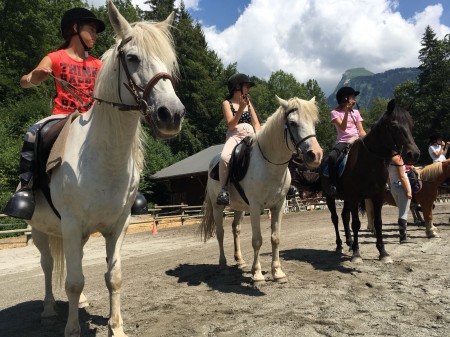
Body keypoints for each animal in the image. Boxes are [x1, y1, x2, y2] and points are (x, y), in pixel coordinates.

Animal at [26, 1, 184, 334]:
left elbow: (113, 277)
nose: (172, 114)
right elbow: (73, 281)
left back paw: (81, 303)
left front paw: (117, 327)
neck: (103, 160)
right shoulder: (72, 224)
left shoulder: (117, 225)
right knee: (48, 266)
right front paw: (72, 329)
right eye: (132, 57)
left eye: (169, 61)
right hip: (40, 230)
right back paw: (48, 310)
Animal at [201, 96, 324, 282]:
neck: (270, 166)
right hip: (218, 206)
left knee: (235, 229)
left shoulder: (278, 205)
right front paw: (257, 273)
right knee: (221, 233)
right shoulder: (255, 207)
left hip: (239, 207)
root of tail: (212, 164)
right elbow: (257, 240)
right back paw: (223, 266)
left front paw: (277, 272)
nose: (315, 155)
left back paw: (240, 260)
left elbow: (275, 238)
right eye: (293, 123)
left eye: (314, 122)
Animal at [322, 102, 420, 262]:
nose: (414, 154)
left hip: (346, 198)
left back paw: (349, 243)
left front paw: (383, 252)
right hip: (329, 196)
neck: (368, 160)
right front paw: (356, 253)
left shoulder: (377, 195)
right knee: (335, 219)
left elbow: (378, 222)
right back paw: (340, 245)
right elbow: (356, 223)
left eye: (411, 125)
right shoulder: (355, 196)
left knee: (344, 216)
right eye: (394, 125)